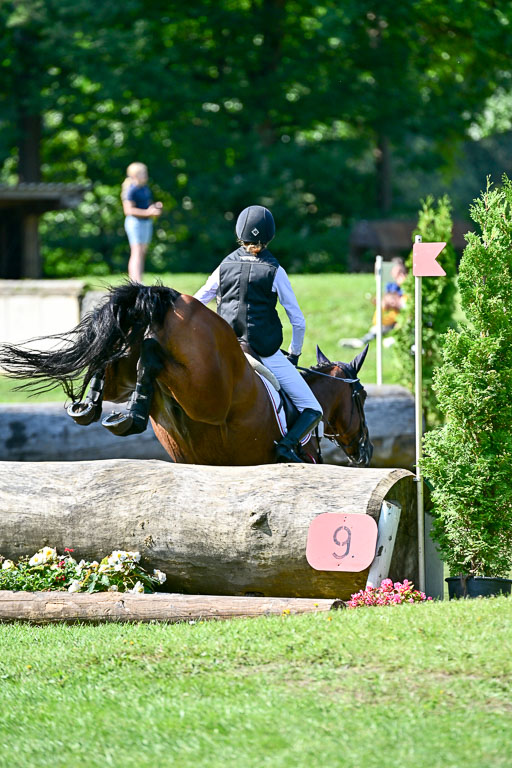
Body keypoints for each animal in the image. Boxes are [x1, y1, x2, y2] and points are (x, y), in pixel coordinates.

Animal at [0, 283, 373, 467]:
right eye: (362, 398)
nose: (365, 452)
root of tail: (171, 298)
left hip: (131, 365)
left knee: (117, 357)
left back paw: (100, 410)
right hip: (207, 395)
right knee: (153, 358)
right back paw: (129, 413)